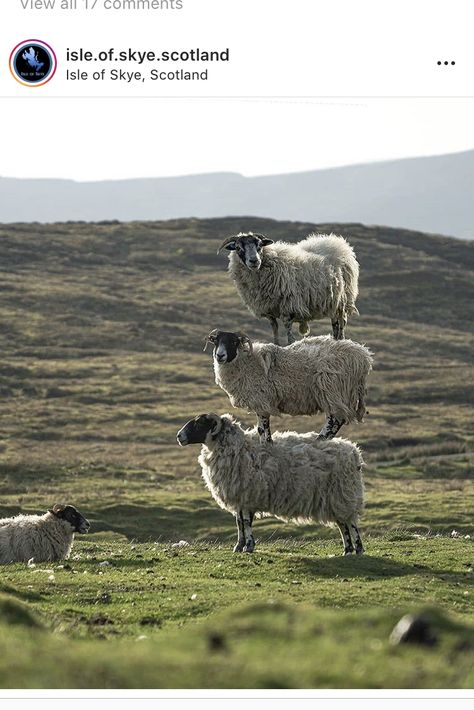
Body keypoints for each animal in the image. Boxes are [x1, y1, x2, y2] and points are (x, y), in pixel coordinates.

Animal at [176, 414, 364, 560]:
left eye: (200, 423)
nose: (179, 436)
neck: (238, 446)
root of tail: (353, 452)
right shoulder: (241, 498)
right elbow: (239, 523)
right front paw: (239, 546)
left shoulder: (247, 495)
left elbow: (246, 522)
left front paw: (249, 546)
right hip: (334, 499)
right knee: (342, 524)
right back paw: (347, 551)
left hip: (343, 493)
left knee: (351, 524)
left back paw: (358, 549)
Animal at [204, 330, 374, 442]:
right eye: (216, 341)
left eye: (233, 342)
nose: (220, 355)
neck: (246, 363)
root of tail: (363, 357)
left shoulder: (261, 401)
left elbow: (262, 430)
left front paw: (266, 444)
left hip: (333, 390)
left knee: (335, 420)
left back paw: (319, 440)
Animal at [218, 232, 360, 346]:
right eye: (238, 248)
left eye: (259, 246)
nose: (254, 261)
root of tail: (338, 243)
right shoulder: (269, 311)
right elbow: (275, 330)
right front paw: (276, 344)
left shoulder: (288, 307)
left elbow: (289, 335)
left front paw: (290, 346)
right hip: (332, 303)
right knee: (335, 324)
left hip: (342, 300)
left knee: (341, 324)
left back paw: (341, 341)